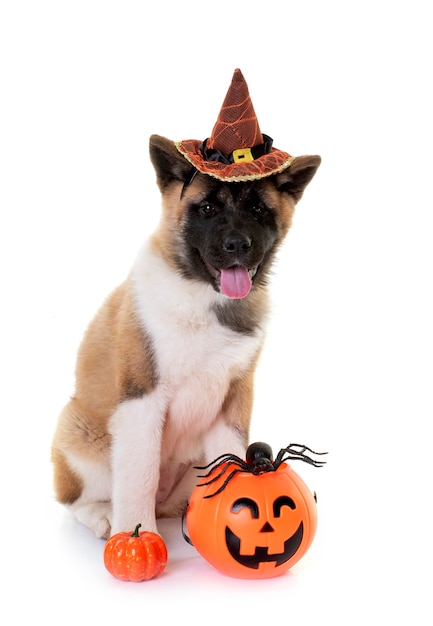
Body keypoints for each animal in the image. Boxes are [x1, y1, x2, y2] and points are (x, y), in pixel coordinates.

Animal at [51, 69, 320, 536]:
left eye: (258, 209)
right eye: (207, 208)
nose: (237, 245)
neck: (204, 299)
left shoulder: (233, 402)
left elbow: (232, 460)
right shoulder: (141, 401)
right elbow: (137, 479)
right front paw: (135, 535)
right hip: (78, 432)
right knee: (80, 499)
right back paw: (104, 516)